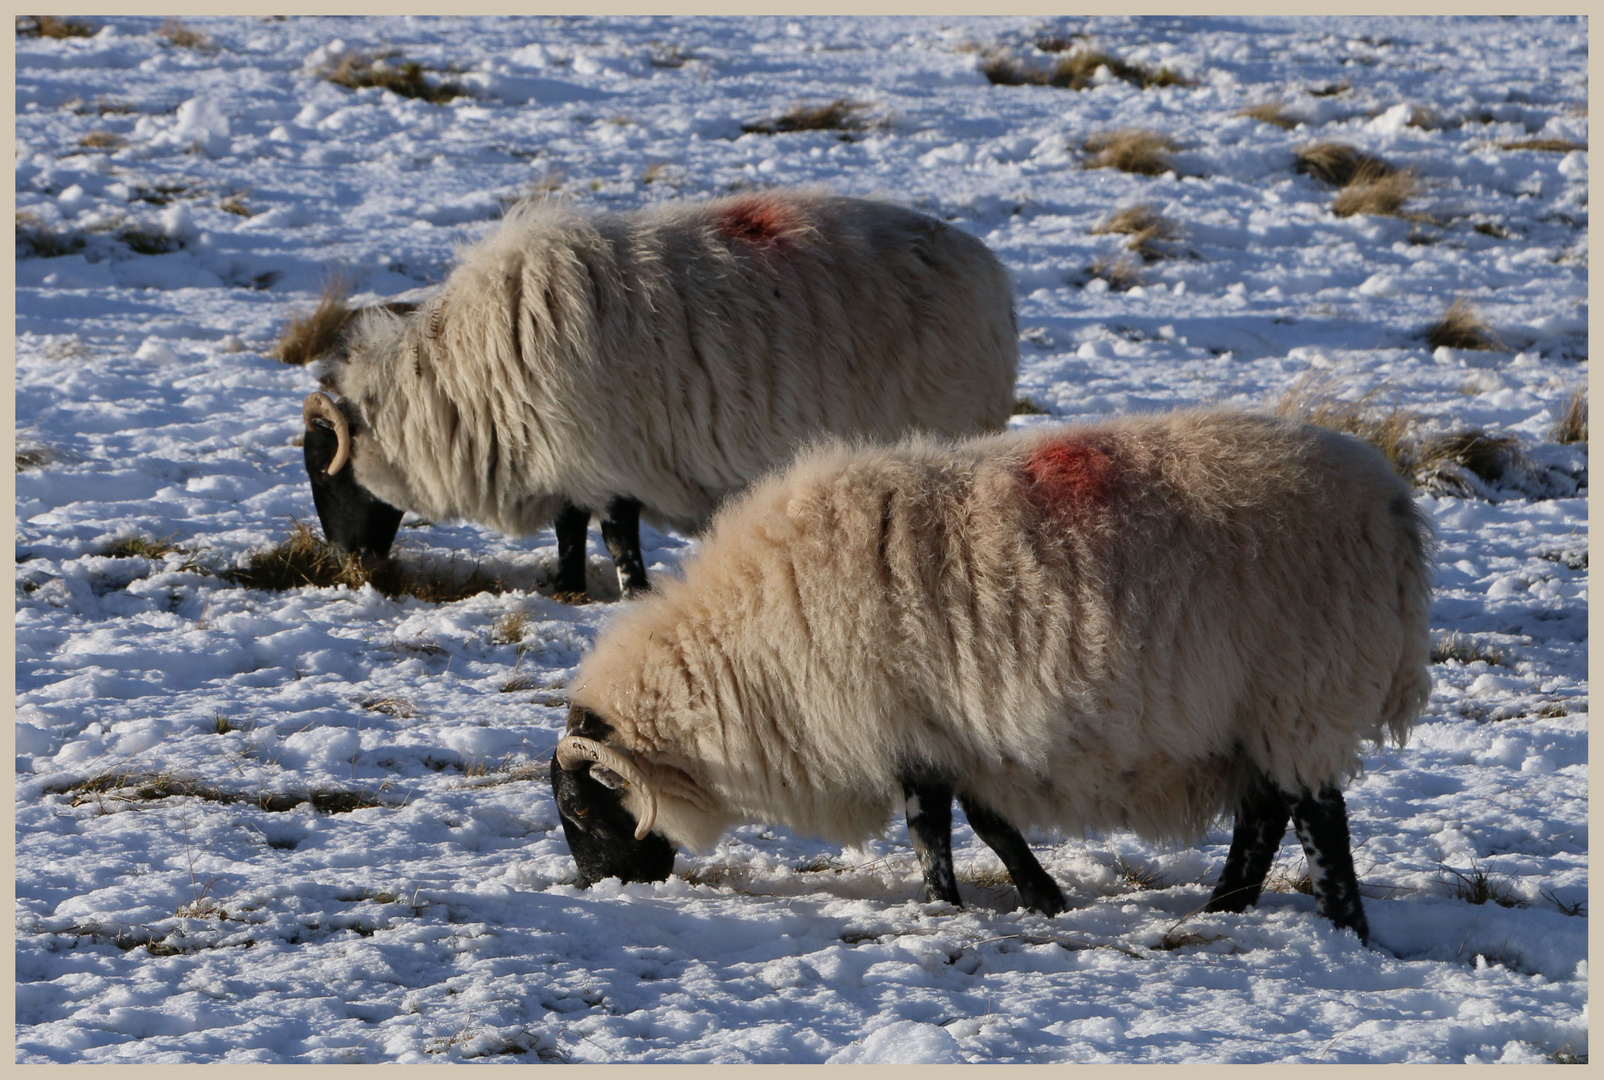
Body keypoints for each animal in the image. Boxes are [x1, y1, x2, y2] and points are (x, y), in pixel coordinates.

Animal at [301, 190, 1013, 603]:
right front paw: (564, 587)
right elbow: (570, 526)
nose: (348, 563)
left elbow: (617, 534)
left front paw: (632, 594)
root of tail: (987, 268)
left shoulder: (609, 455)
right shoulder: (569, 458)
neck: (456, 381)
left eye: (323, 469)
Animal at [548, 409, 1430, 937]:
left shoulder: (903, 720)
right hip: (1263, 711)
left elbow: (931, 828)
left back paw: (1338, 926)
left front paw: (946, 906)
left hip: (1303, 689)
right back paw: (1225, 912)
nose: (603, 895)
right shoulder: (951, 730)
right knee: (1266, 815)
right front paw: (1044, 898)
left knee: (1316, 820)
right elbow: (986, 821)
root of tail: (1394, 511)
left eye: (582, 807)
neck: (744, 649)